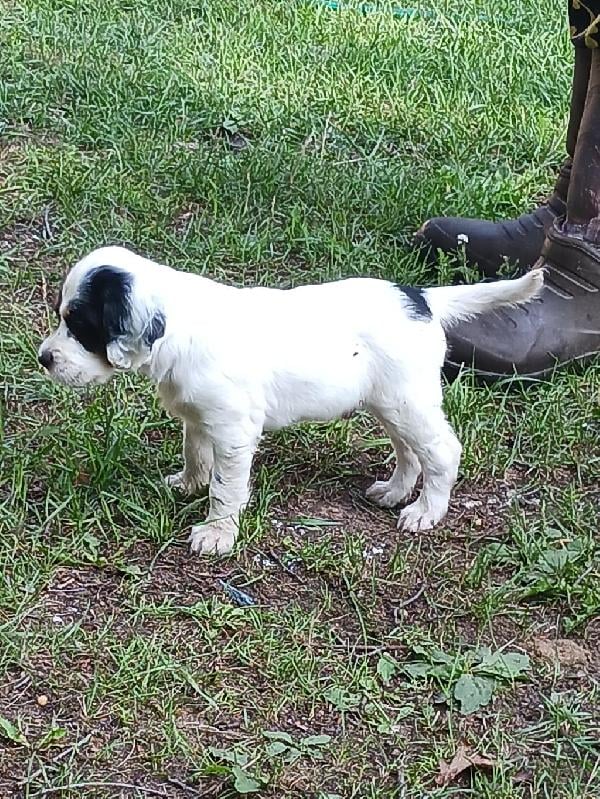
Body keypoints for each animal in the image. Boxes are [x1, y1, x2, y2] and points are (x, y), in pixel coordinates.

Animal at [37, 247, 544, 552]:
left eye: (79, 325)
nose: (43, 358)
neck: (178, 330)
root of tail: (421, 298)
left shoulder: (234, 429)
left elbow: (226, 487)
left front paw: (217, 534)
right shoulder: (200, 417)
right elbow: (195, 454)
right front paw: (186, 484)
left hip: (407, 401)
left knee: (441, 451)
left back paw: (425, 511)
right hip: (390, 404)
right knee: (408, 452)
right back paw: (394, 491)